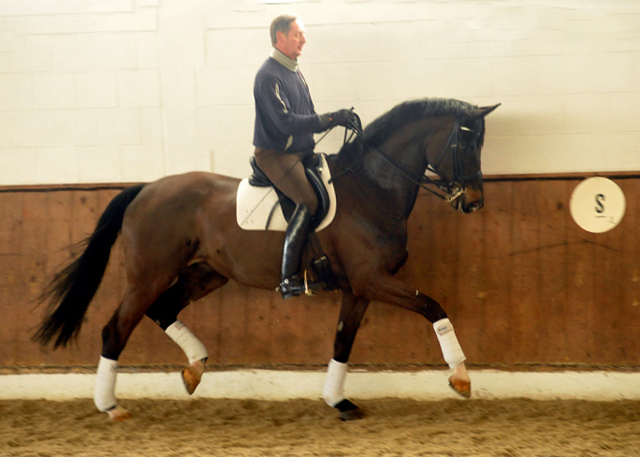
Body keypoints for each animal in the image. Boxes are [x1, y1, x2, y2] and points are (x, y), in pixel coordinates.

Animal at [33, 97, 500, 420]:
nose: (474, 202)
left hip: (207, 273)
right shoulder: (373, 280)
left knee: (164, 310)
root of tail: (145, 189)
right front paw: (461, 377)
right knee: (116, 329)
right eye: (464, 142)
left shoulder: (360, 287)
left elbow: (342, 341)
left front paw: (337, 400)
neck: (373, 186)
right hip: (148, 276)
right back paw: (111, 406)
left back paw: (194, 369)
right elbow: (433, 306)